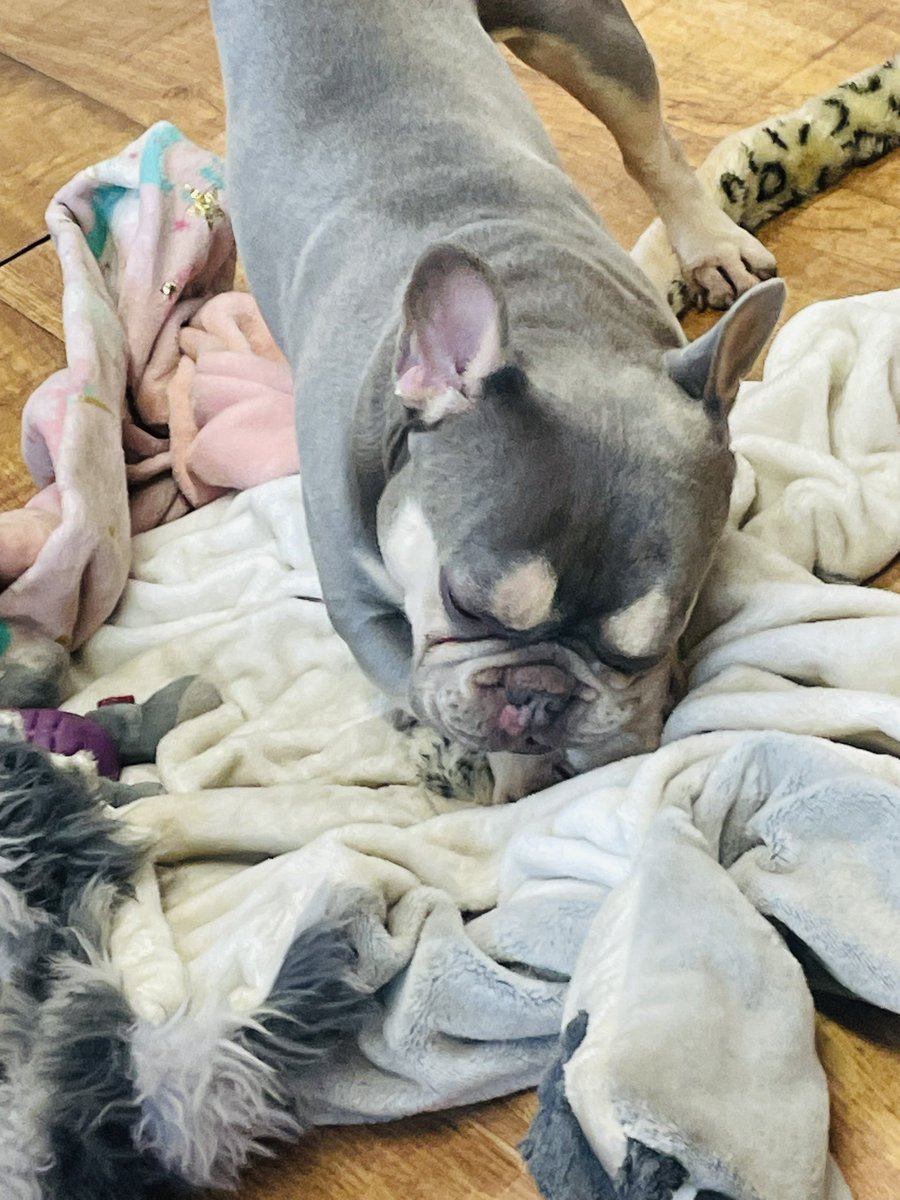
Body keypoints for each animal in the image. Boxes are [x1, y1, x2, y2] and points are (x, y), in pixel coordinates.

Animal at [210, 2, 782, 806]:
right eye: (467, 604)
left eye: (646, 649)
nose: (545, 695)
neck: (552, 323)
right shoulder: (366, 617)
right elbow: (447, 698)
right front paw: (519, 784)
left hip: (589, 39)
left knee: (651, 147)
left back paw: (709, 242)